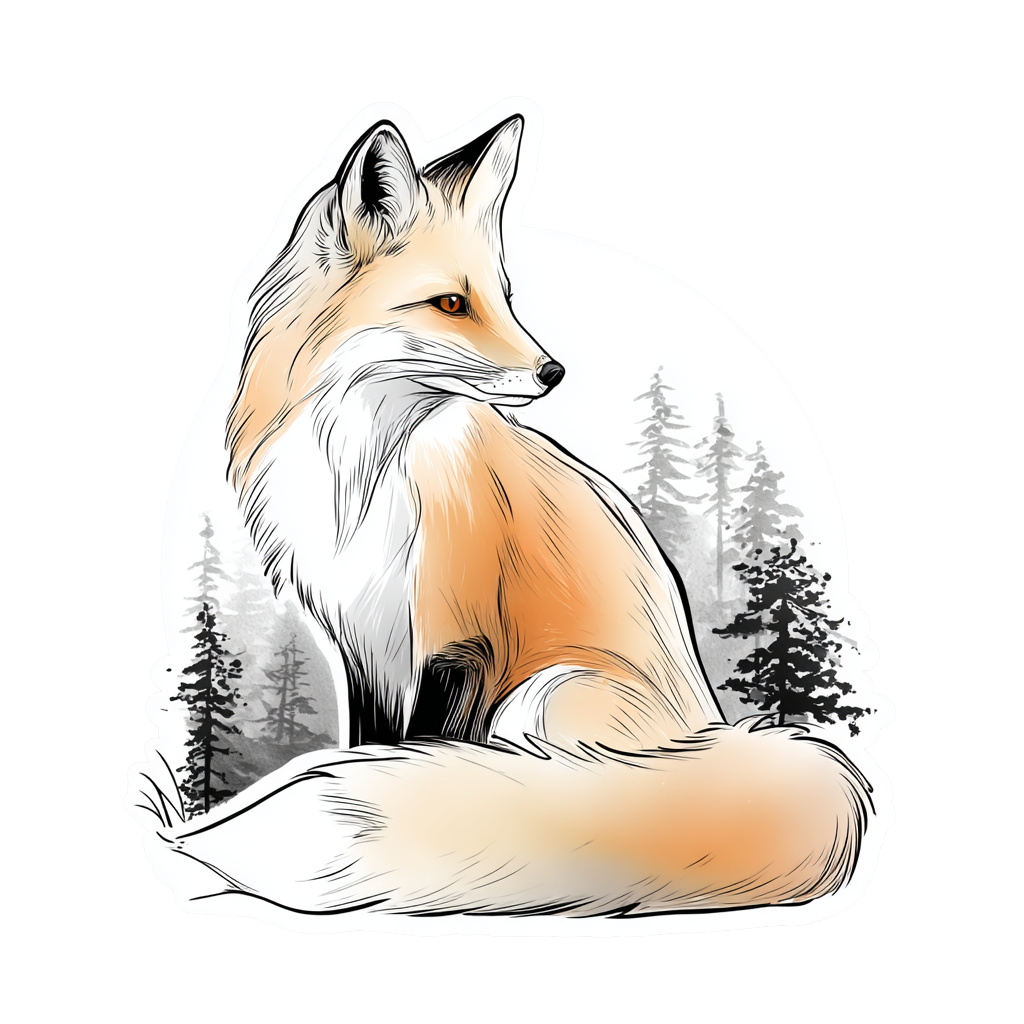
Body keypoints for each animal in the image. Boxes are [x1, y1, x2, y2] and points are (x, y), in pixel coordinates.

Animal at [164, 109, 874, 918]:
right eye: (451, 303)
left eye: (505, 296)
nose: (554, 372)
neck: (364, 468)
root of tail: (716, 740)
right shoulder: (364, 643)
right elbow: (366, 746)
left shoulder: (455, 645)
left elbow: (418, 760)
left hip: (543, 697)